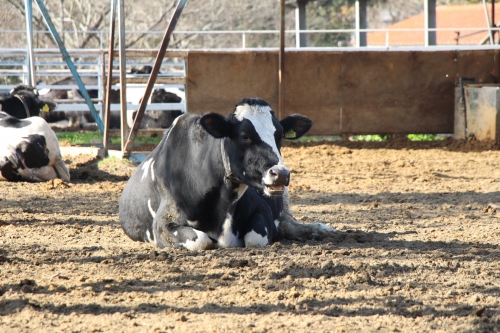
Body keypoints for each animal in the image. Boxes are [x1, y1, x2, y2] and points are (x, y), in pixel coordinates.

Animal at [118, 96, 334, 249]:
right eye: (244, 136)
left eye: (279, 135)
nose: (280, 173)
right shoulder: (162, 225)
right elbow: (201, 241)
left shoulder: (261, 210)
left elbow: (254, 238)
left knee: (289, 224)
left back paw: (323, 229)